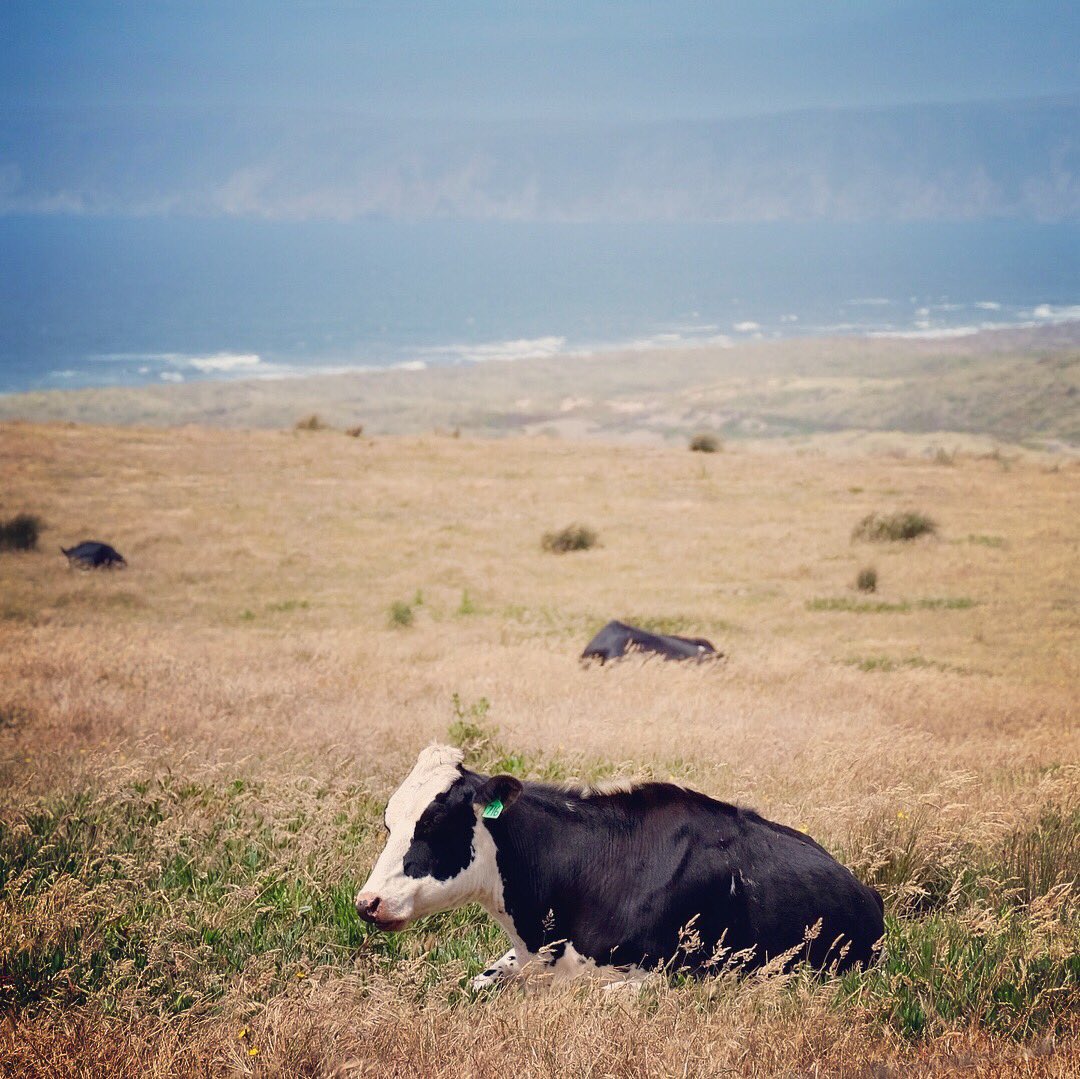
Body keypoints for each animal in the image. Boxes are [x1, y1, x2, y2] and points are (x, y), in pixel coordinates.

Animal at [355, 745, 884, 989]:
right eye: (388, 822)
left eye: (434, 822)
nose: (367, 902)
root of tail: (865, 890)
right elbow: (478, 980)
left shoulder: (667, 975)